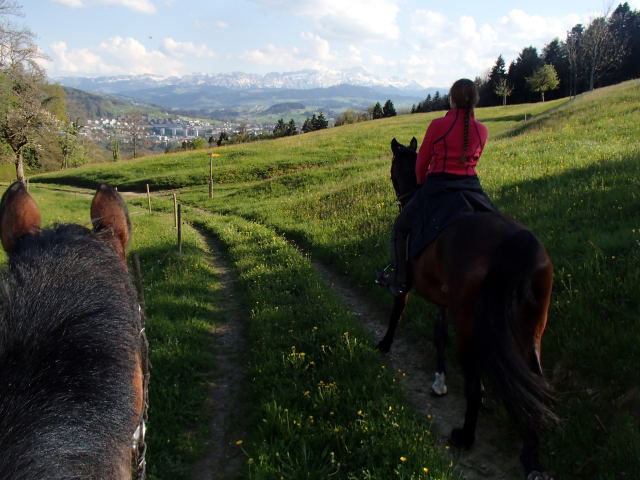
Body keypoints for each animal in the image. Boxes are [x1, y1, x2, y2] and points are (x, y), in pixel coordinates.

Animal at [378, 139, 556, 480]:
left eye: (393, 167)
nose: (400, 197)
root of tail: (515, 241)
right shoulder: (445, 300)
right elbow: (438, 334)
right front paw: (439, 380)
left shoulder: (411, 284)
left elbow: (398, 312)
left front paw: (384, 344)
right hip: (531, 326)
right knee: (534, 380)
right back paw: (532, 456)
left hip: (469, 317)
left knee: (473, 373)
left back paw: (466, 434)